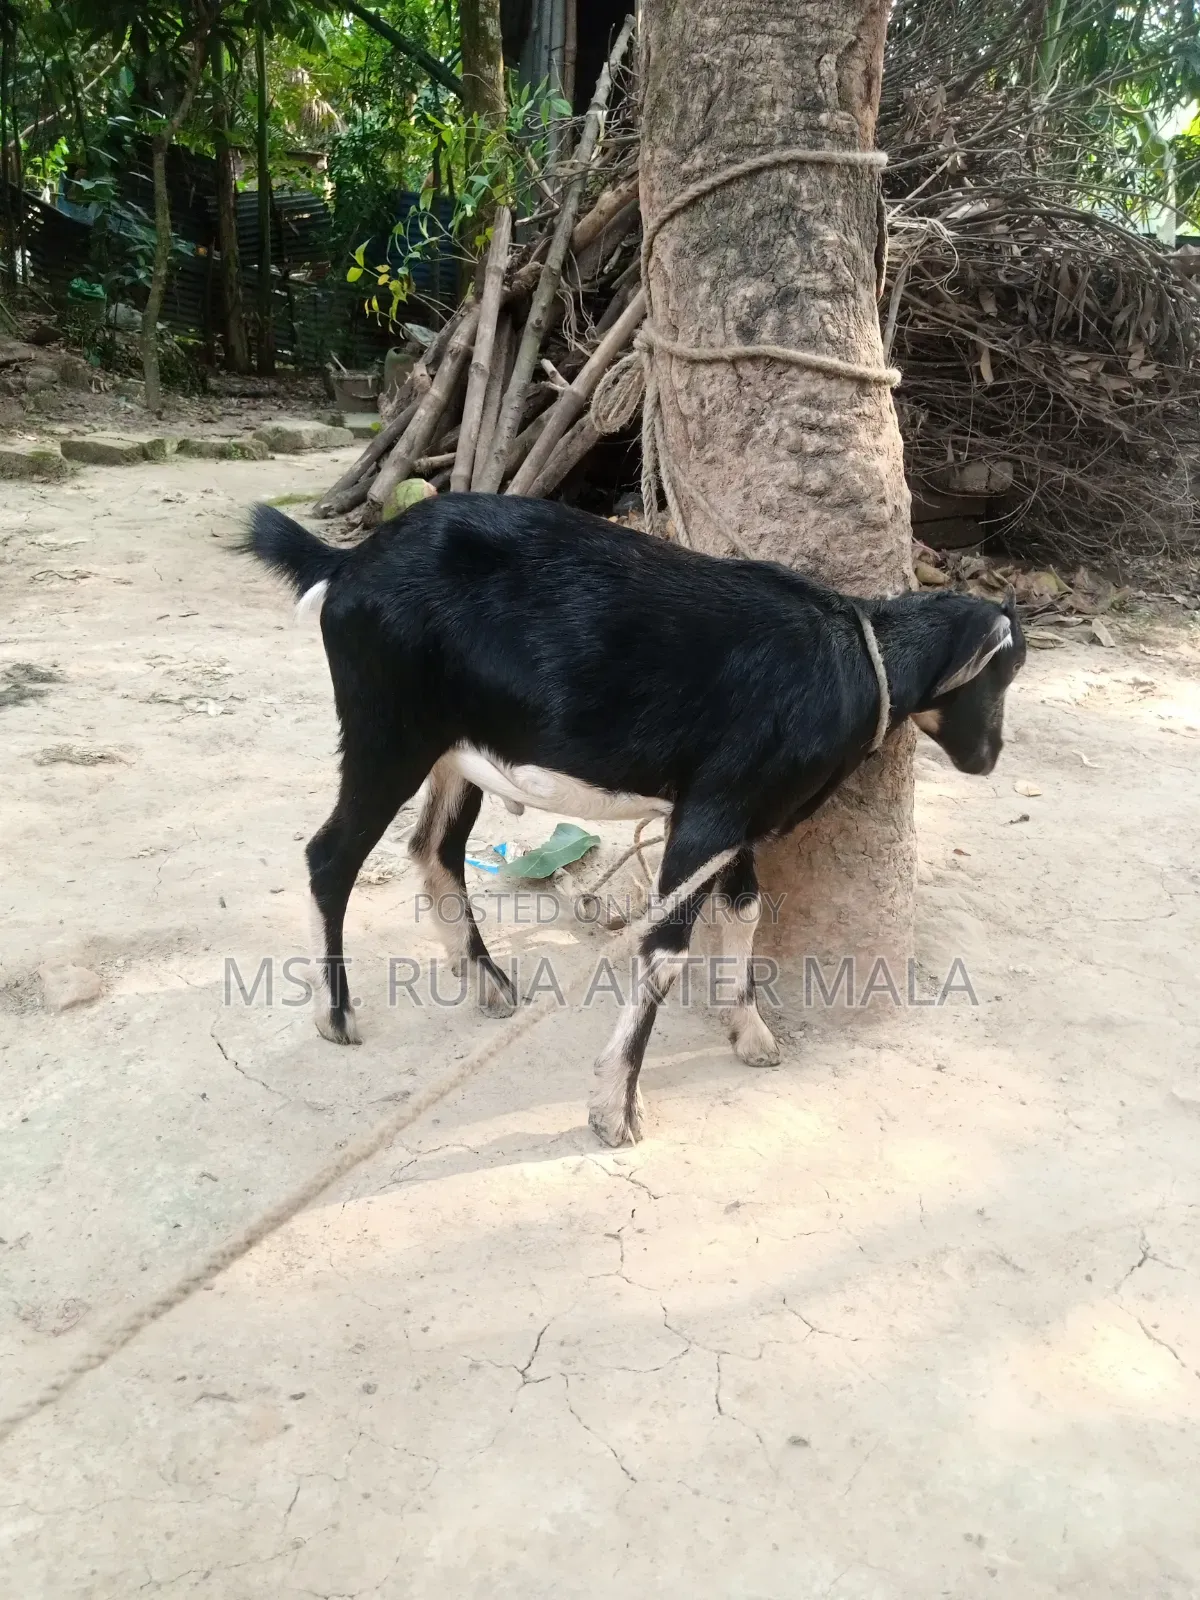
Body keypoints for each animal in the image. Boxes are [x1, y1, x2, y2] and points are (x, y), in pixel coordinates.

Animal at [249, 494, 1025, 1146]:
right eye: (1003, 671)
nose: (988, 756)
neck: (853, 660)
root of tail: (346, 563)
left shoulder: (737, 816)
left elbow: (744, 909)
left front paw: (749, 1033)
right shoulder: (712, 811)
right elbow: (664, 947)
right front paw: (616, 1108)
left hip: (451, 750)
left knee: (435, 847)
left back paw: (488, 983)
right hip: (386, 731)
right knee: (332, 856)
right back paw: (336, 1014)